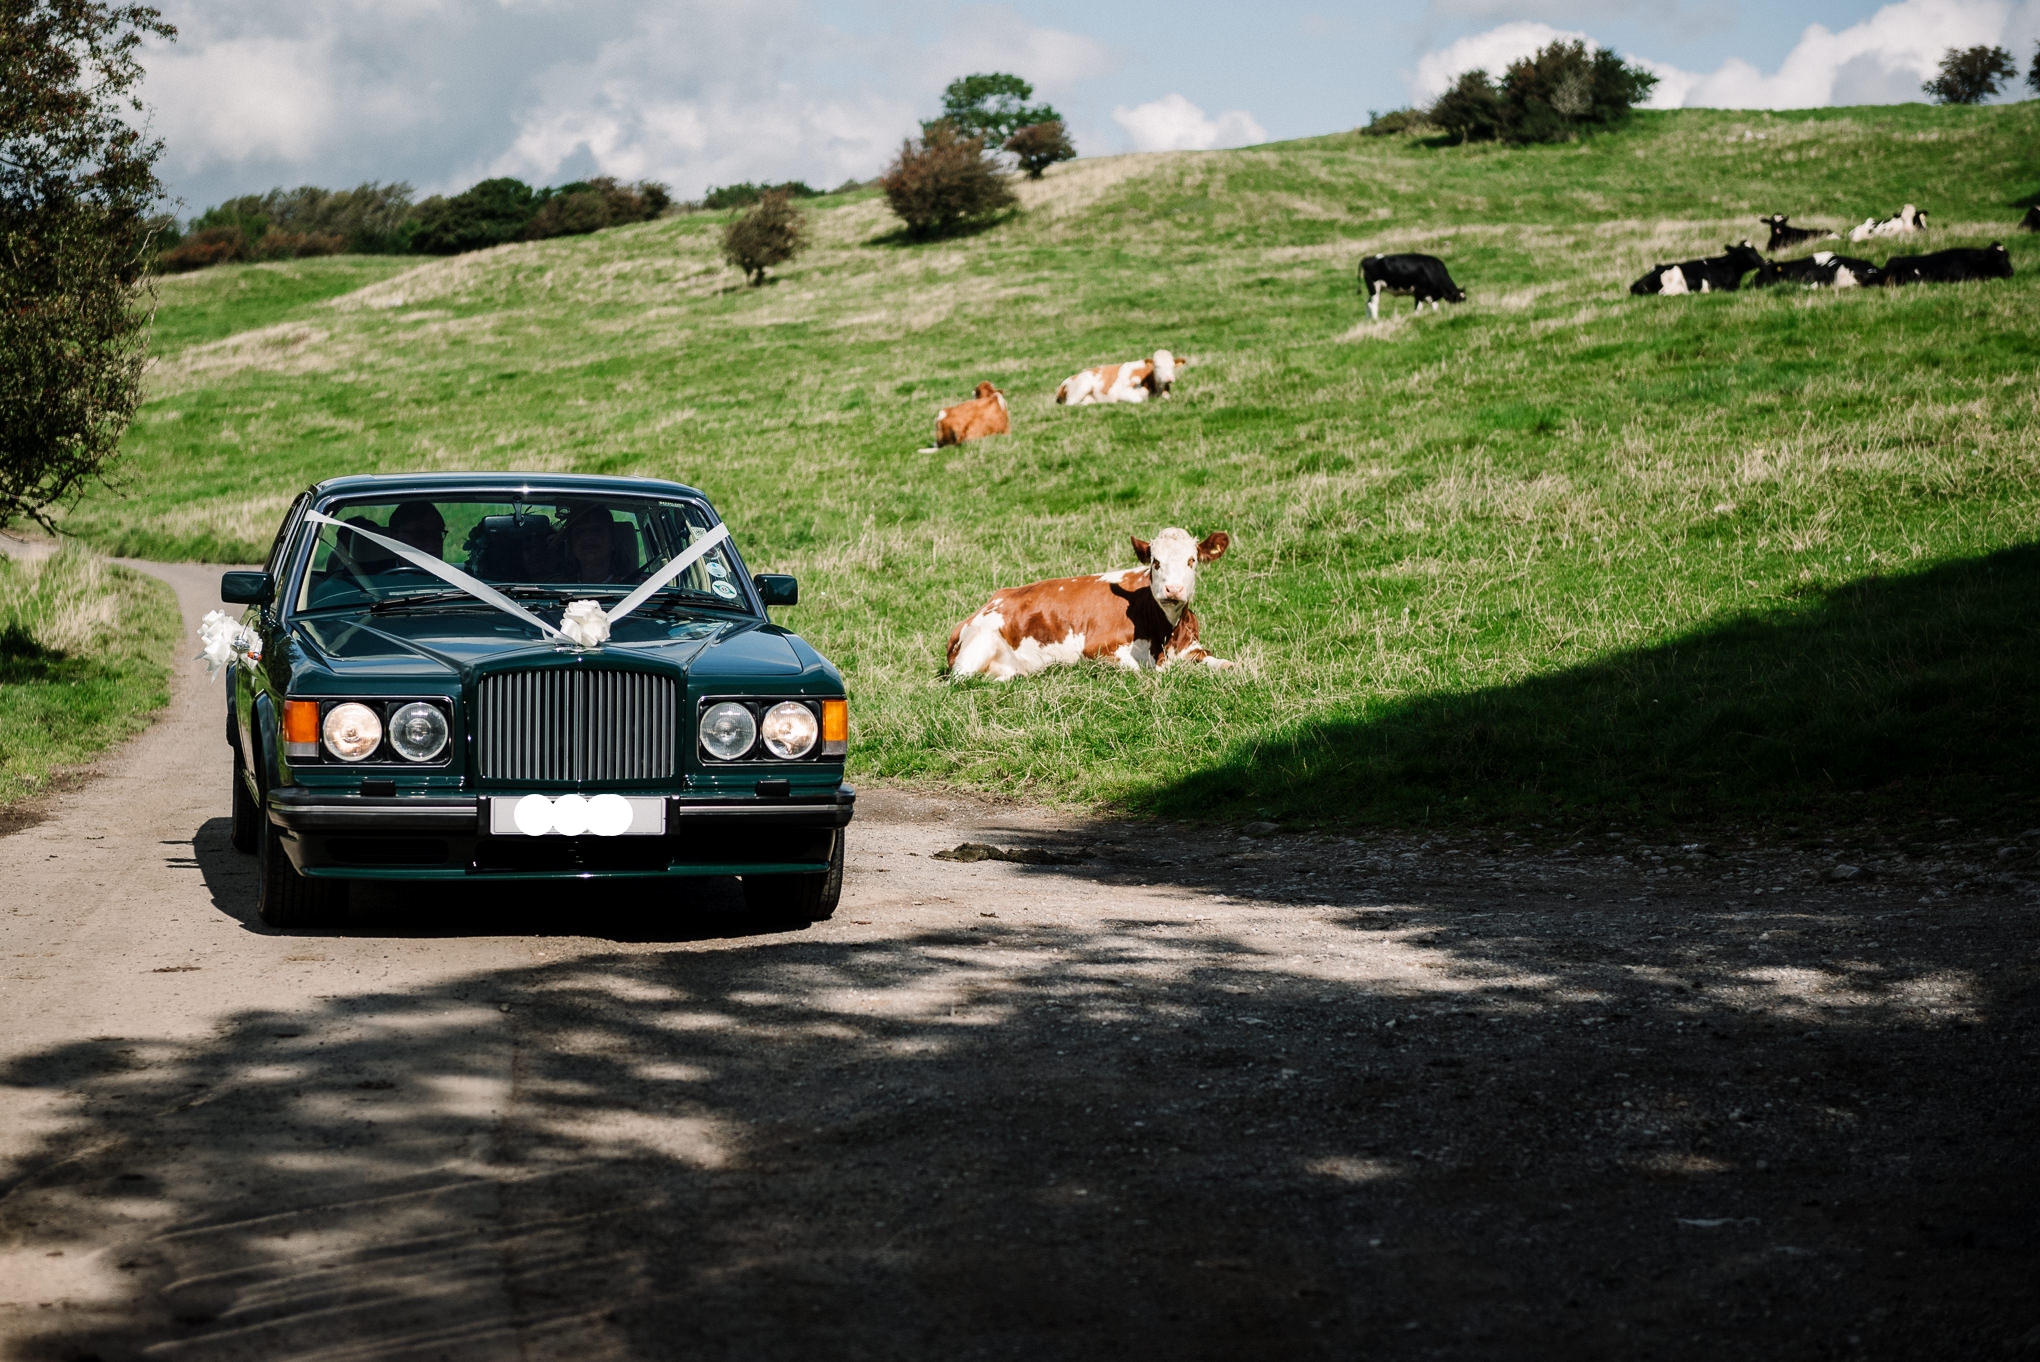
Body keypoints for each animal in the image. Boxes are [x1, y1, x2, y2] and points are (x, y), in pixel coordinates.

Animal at [946, 530, 1232, 681]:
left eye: (1191, 560)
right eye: (1156, 562)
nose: (1173, 589)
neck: (1164, 634)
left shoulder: (1192, 647)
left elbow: (1223, 663)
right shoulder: (1098, 650)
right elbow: (1140, 668)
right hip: (974, 653)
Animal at [1060, 350, 1191, 403]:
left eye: (1173, 366)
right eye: (1157, 366)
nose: (1169, 378)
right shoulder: (1122, 391)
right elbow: (1138, 400)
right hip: (1082, 386)